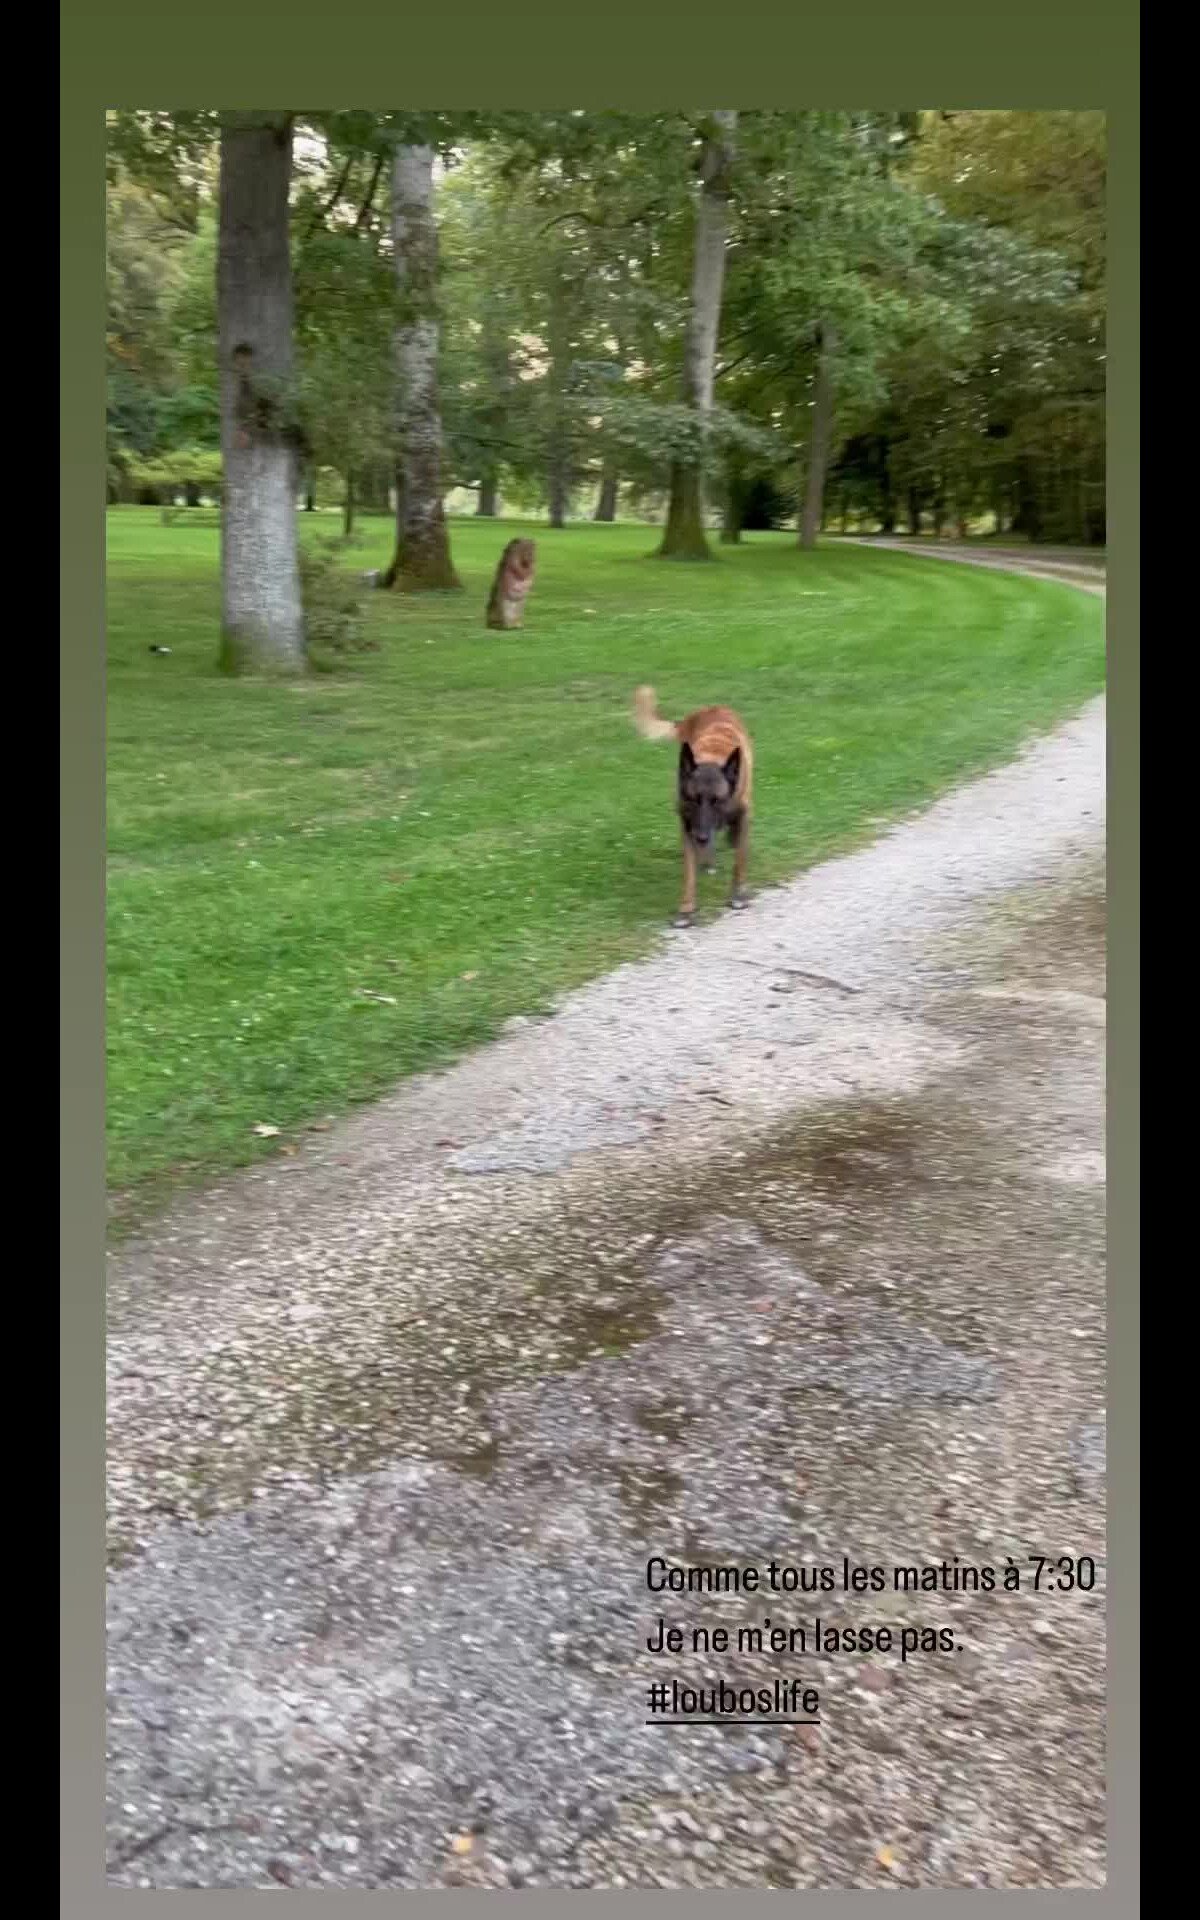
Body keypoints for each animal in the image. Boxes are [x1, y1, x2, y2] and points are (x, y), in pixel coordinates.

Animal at [633, 687, 752, 925]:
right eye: (692, 799)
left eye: (717, 800)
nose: (701, 837)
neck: (713, 757)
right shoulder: (688, 824)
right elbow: (689, 872)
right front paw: (686, 909)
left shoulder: (743, 814)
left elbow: (739, 860)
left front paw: (737, 895)